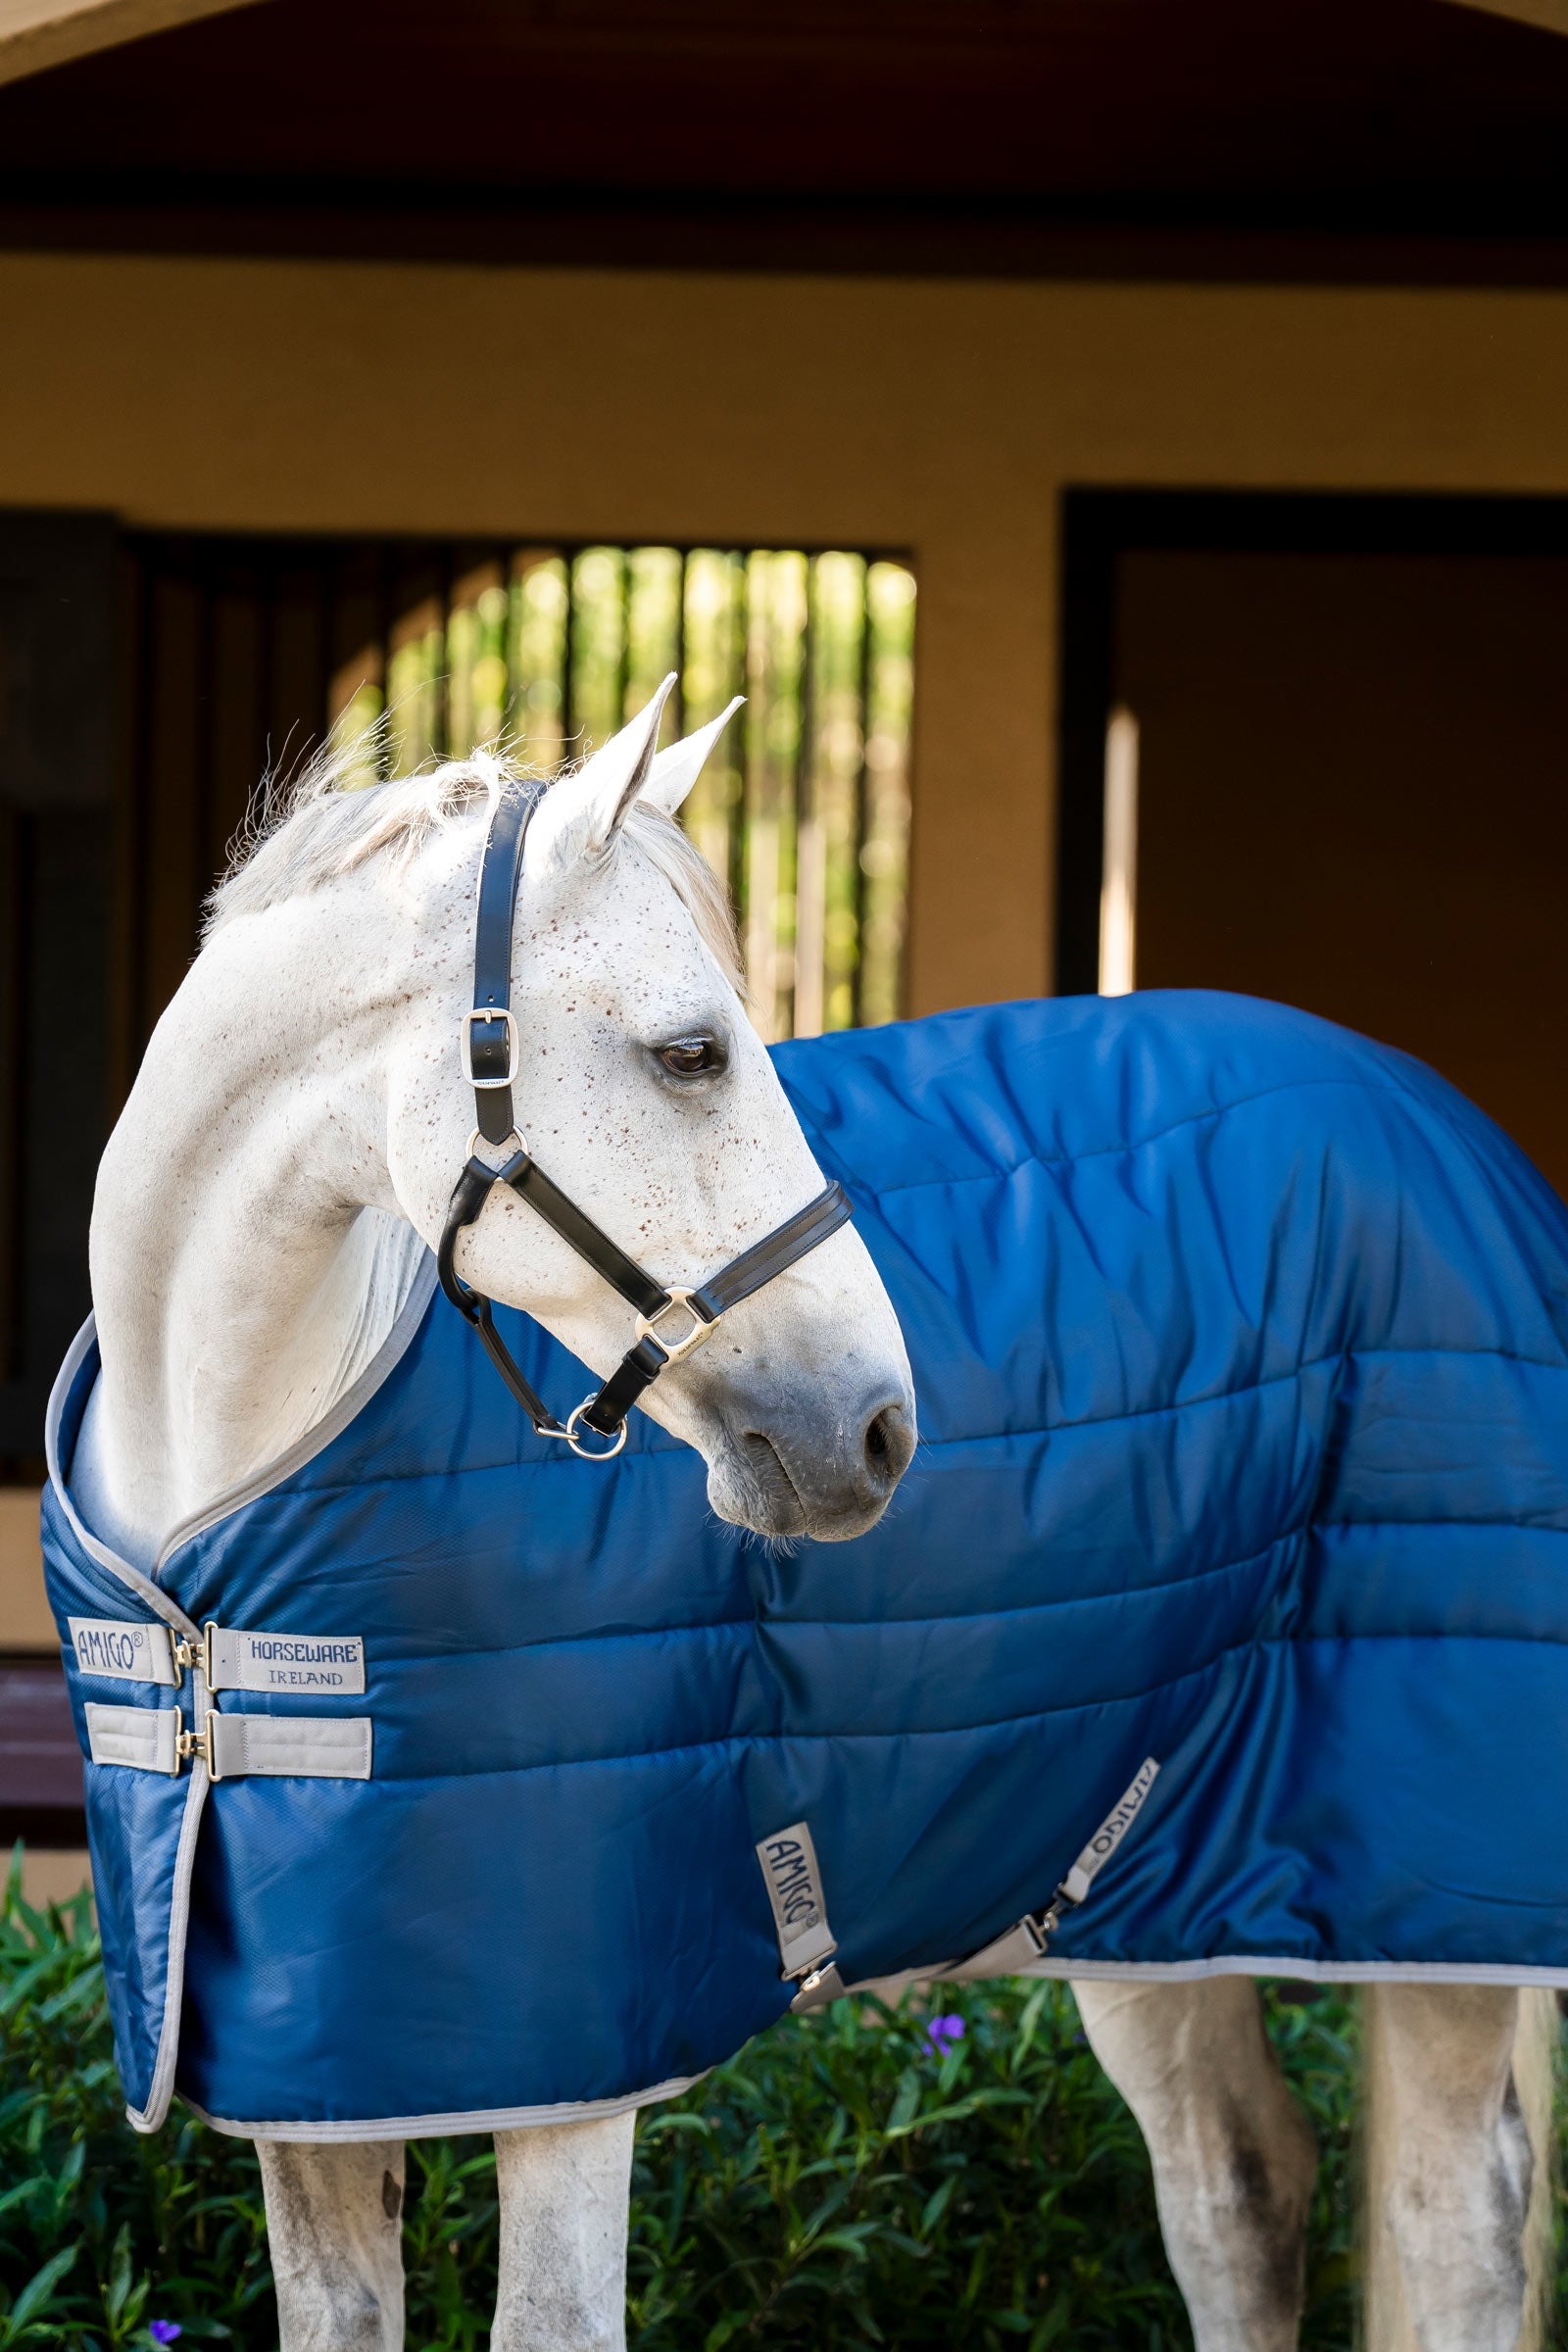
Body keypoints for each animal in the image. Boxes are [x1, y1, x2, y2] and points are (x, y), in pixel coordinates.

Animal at [55, 677, 1557, 2352]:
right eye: (693, 1051)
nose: (878, 1432)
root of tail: (1444, 1124)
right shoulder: (314, 2082)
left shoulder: (580, 2056)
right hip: (1148, 1877)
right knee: (1239, 2190)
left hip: (1428, 1908)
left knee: (1454, 2226)